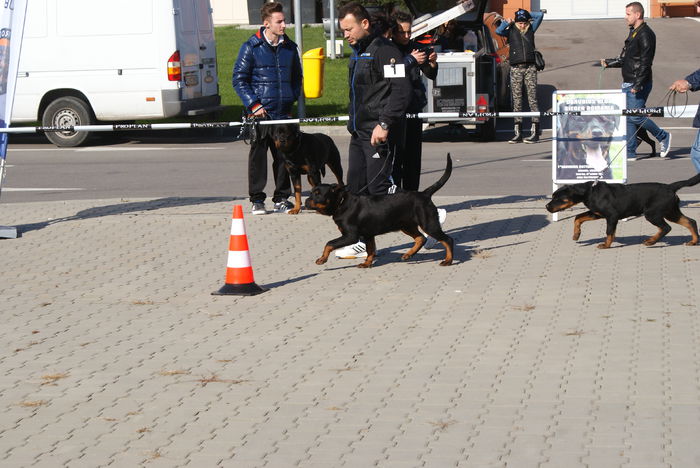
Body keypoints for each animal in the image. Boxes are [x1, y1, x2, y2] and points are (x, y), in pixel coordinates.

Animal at [304, 155, 454, 268]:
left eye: (318, 194)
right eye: (311, 193)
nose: (305, 202)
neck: (341, 203)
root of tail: (425, 194)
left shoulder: (351, 236)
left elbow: (329, 243)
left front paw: (322, 258)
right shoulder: (368, 234)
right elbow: (371, 250)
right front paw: (367, 263)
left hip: (427, 223)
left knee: (447, 239)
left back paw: (448, 260)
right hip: (406, 225)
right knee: (421, 238)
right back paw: (408, 254)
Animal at [548, 174, 700, 249]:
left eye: (558, 198)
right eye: (553, 196)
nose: (547, 207)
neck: (590, 192)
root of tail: (670, 187)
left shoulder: (611, 216)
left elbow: (609, 232)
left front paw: (606, 245)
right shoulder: (596, 213)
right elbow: (578, 218)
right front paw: (576, 235)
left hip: (653, 213)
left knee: (666, 227)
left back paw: (651, 241)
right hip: (671, 212)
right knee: (690, 221)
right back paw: (693, 241)